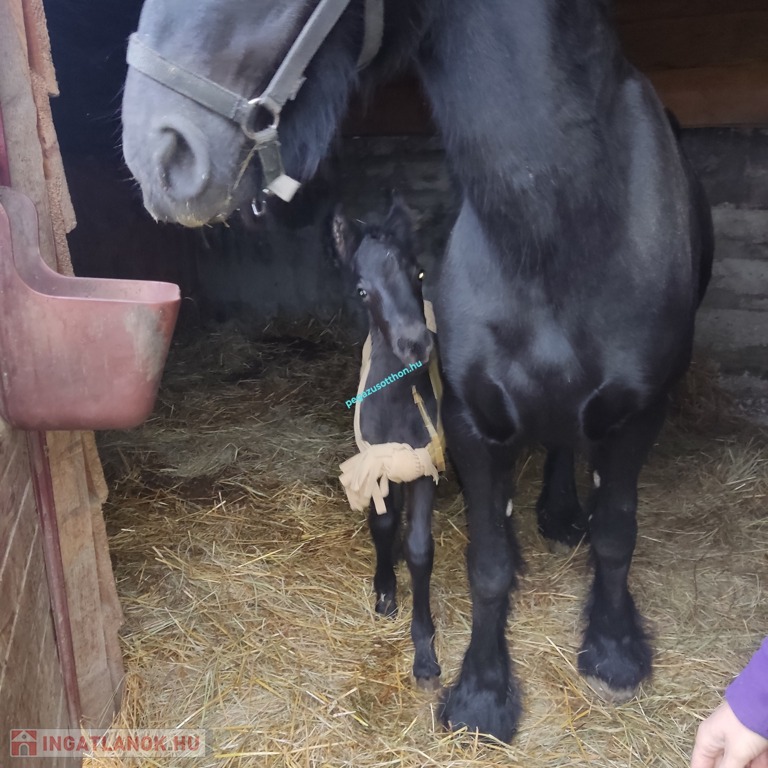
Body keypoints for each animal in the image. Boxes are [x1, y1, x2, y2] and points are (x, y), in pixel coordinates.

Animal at [121, 0, 714, 742]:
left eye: (419, 273)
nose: (158, 150)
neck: (555, 229)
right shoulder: (470, 417)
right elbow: (484, 565)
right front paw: (482, 692)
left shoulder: (640, 412)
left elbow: (615, 534)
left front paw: (613, 650)